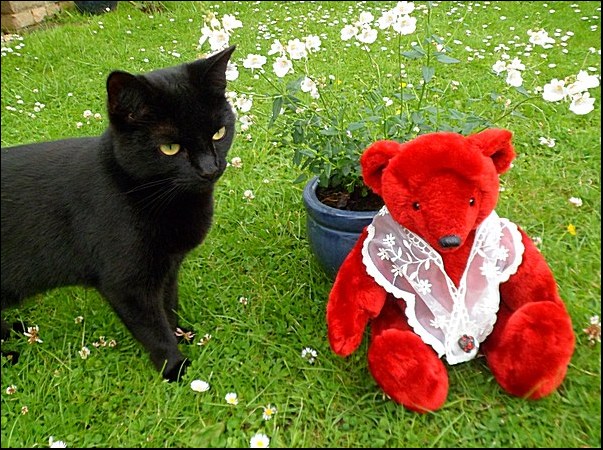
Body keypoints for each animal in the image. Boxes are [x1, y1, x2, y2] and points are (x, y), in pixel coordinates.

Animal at [1, 44, 237, 380]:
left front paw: (183, 336)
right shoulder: (126, 284)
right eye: (170, 148)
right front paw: (175, 368)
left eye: (218, 133)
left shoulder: (168, 269)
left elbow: (169, 307)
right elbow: (154, 330)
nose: (209, 169)